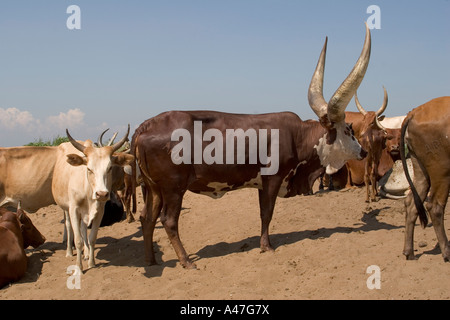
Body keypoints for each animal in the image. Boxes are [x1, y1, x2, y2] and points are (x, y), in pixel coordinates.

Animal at [134, 23, 372, 268]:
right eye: (348, 130)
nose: (364, 151)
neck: (298, 136)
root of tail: (146, 125)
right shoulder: (273, 179)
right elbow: (267, 213)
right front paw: (267, 246)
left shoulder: (261, 183)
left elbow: (262, 212)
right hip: (173, 188)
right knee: (168, 220)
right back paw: (186, 260)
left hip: (153, 188)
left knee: (147, 218)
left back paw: (151, 260)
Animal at [400, 96, 450, 262]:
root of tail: (414, 112)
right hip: (441, 170)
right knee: (434, 207)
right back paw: (447, 252)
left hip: (420, 168)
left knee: (411, 203)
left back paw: (409, 251)